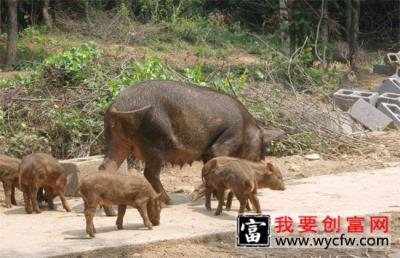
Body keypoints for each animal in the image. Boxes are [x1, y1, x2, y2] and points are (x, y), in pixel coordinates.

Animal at [98, 80, 282, 206]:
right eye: (260, 153)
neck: (247, 130)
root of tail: (118, 104)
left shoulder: (208, 152)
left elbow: (211, 168)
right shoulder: (224, 142)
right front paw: (195, 197)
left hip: (115, 140)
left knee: (106, 167)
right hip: (154, 141)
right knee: (150, 173)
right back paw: (168, 201)